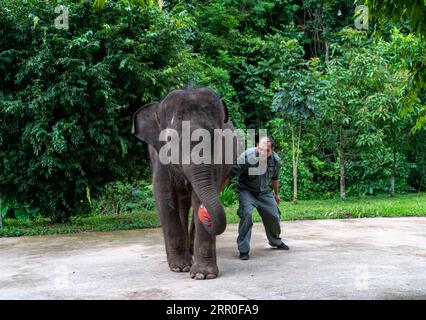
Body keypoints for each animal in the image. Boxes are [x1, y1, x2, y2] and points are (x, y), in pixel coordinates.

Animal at [131, 86, 238, 278]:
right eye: (171, 140)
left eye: (216, 137)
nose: (207, 217)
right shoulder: (159, 159)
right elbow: (163, 196)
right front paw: (179, 268)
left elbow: (199, 196)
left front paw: (203, 275)